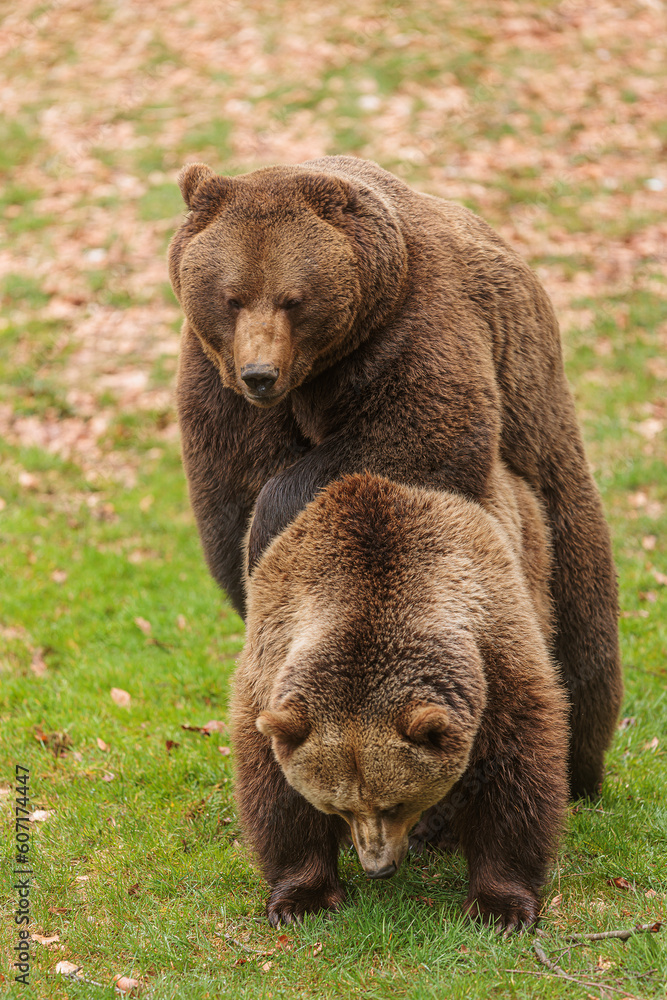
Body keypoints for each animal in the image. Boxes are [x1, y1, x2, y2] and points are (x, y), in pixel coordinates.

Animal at [168, 154, 622, 801]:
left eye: (292, 298)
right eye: (232, 297)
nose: (260, 373)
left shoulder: (415, 326)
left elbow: (426, 426)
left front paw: (272, 531)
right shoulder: (216, 380)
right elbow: (234, 492)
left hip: (549, 453)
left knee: (580, 610)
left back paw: (579, 763)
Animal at [230, 466, 568, 929]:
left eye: (397, 803)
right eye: (339, 807)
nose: (378, 867)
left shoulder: (495, 659)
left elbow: (514, 777)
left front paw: (501, 907)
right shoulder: (272, 663)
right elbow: (276, 793)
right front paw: (300, 899)